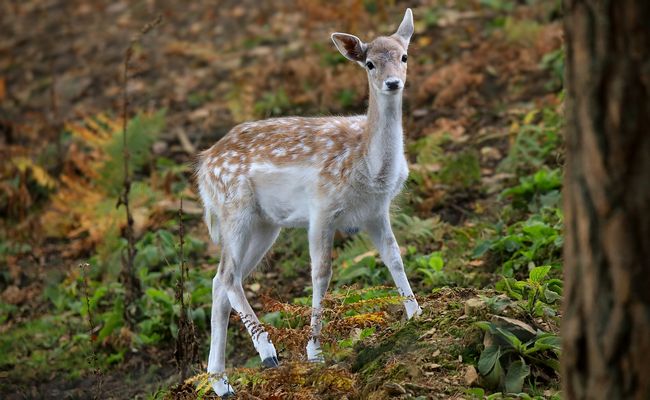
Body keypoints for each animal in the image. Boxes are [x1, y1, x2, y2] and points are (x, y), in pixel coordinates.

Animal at [195, 8, 421, 397]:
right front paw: (314, 352)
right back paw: (267, 352)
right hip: (234, 209)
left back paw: (222, 382)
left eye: (404, 56)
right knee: (227, 276)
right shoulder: (322, 209)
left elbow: (394, 256)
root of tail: (203, 166)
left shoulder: (375, 212)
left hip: (265, 225)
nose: (393, 83)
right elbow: (321, 273)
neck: (369, 167)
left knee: (220, 281)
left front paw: (417, 314)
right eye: (370, 63)